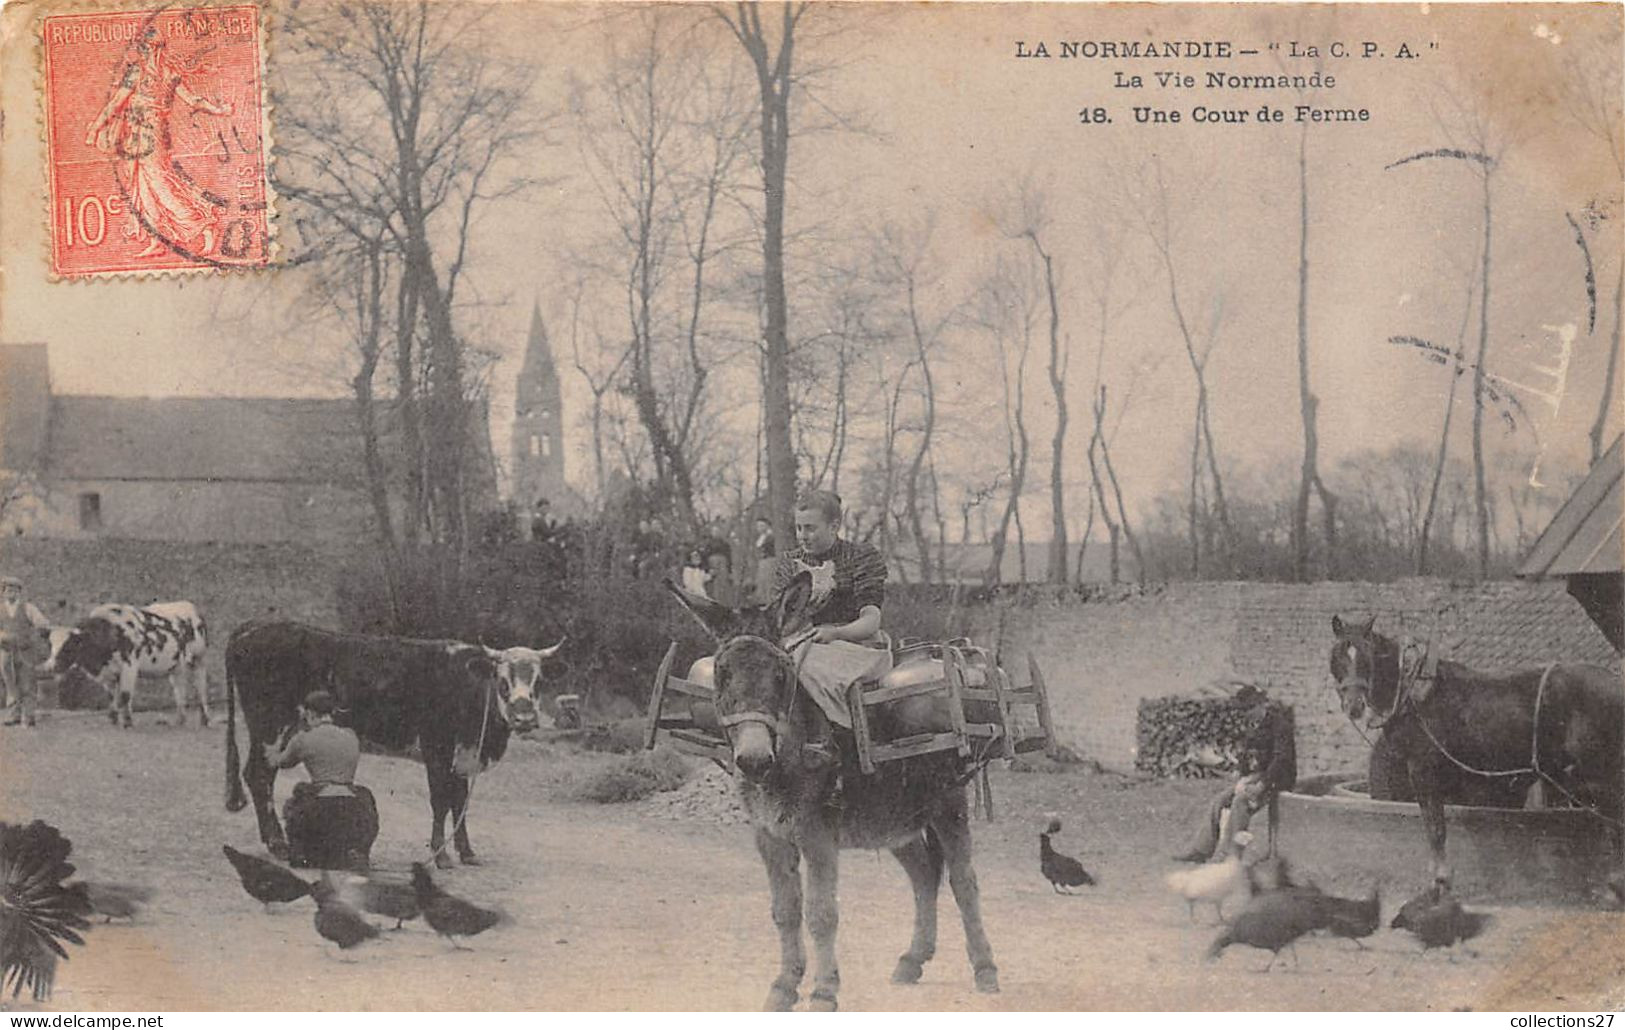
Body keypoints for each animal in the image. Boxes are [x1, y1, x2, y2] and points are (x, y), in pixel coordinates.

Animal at [49, 597, 212, 724]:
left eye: (69, 646)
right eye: (51, 645)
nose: (51, 667)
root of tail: (191, 607)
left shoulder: (129, 666)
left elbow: (125, 695)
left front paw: (127, 722)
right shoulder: (109, 673)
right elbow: (112, 696)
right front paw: (114, 719)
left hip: (200, 659)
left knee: (201, 688)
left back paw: (205, 719)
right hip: (176, 667)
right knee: (179, 690)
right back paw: (180, 720)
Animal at [225, 617, 510, 864]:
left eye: (529, 679)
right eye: (503, 680)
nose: (521, 712)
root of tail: (255, 626)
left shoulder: (464, 755)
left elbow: (460, 802)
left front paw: (467, 852)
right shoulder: (437, 751)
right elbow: (441, 802)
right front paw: (441, 856)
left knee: (260, 776)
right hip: (269, 728)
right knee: (259, 776)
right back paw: (278, 844)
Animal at [663, 568, 994, 1013]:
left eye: (781, 676)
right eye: (722, 674)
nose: (753, 759)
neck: (786, 756)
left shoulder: (816, 834)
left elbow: (821, 914)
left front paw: (823, 992)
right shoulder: (768, 835)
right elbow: (785, 910)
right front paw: (784, 987)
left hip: (947, 804)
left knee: (963, 881)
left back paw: (985, 970)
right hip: (893, 819)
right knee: (924, 875)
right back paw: (912, 960)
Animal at [1326, 614, 1618, 883]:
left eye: (1366, 657)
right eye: (1337, 656)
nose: (1354, 706)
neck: (1413, 693)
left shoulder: (1422, 768)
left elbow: (1435, 825)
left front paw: (1441, 877)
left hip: (1600, 777)